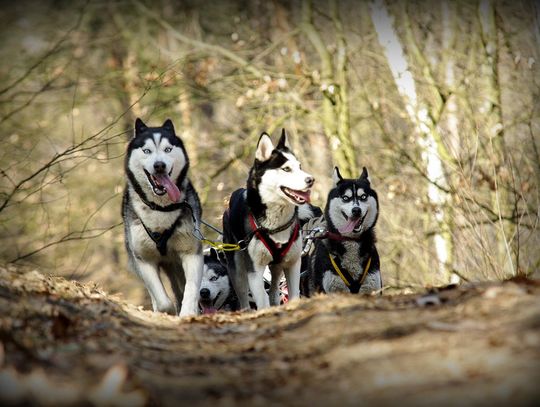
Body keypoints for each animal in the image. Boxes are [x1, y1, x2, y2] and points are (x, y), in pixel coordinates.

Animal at [121, 118, 204, 318]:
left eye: (167, 149)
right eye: (147, 151)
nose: (159, 165)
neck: (161, 208)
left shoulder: (192, 253)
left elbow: (190, 289)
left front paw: (188, 313)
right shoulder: (144, 259)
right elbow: (162, 301)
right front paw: (165, 312)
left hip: (177, 264)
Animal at [221, 131, 314, 312]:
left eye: (299, 166)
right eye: (286, 168)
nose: (311, 180)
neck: (275, 224)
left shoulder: (293, 263)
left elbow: (293, 294)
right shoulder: (254, 270)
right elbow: (261, 299)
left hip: (277, 266)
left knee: (274, 289)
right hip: (237, 269)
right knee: (244, 297)